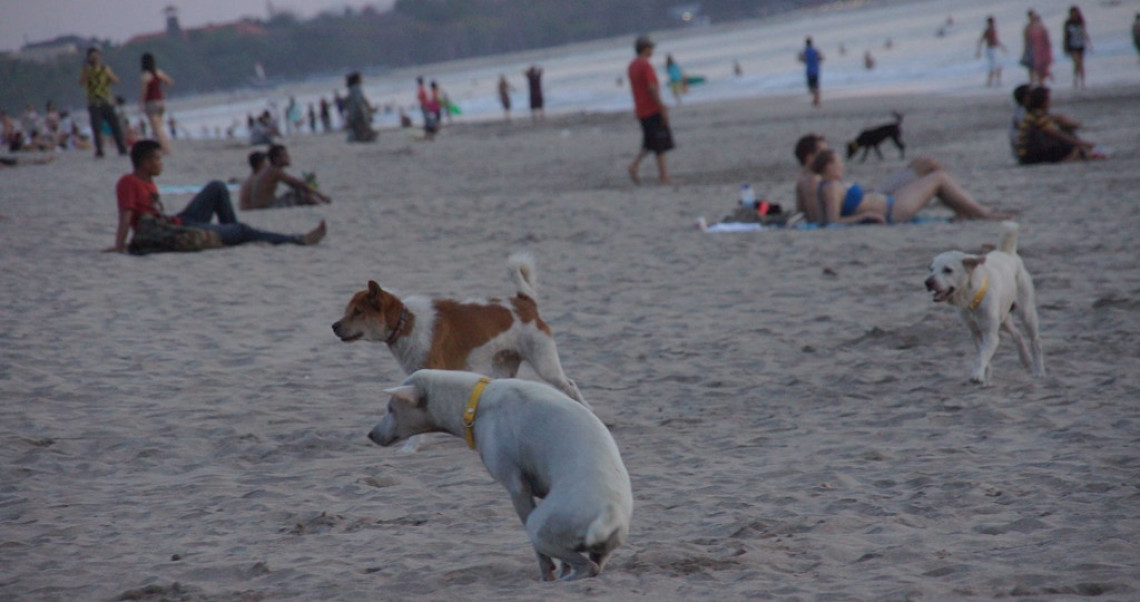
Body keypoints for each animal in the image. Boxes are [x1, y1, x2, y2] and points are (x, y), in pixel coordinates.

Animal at [330, 251, 588, 405]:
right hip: (504, 365)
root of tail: (524, 302)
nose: (333, 326)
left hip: (545, 364)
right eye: (348, 310)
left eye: (358, 312)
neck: (405, 323)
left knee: (571, 385)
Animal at [364, 369, 633, 581]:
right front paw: (560, 570)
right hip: (603, 545)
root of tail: (607, 513)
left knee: (587, 566)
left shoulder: (517, 488)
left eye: (390, 408)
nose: (371, 435)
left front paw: (547, 574)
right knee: (594, 564)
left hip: (538, 526)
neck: (477, 402)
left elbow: (542, 555)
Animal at [925, 222, 1044, 385]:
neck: (972, 299)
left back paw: (1039, 371)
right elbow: (983, 356)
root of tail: (1007, 253)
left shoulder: (991, 334)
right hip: (1004, 317)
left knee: (1035, 341)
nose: (927, 282)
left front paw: (976, 375)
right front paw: (986, 377)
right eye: (931, 269)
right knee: (1017, 334)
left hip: (1026, 312)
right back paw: (1025, 360)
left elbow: (981, 357)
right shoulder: (975, 332)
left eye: (948, 270)